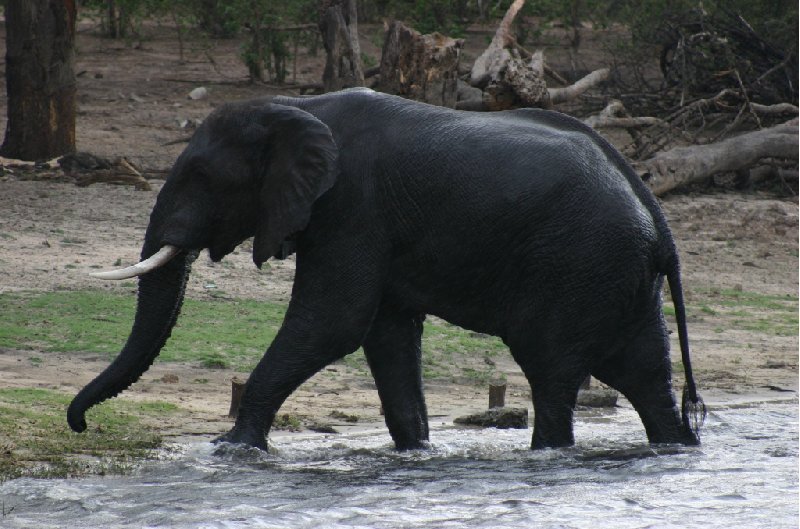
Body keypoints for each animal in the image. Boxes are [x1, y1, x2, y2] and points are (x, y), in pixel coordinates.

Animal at [69, 87, 708, 450]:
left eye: (201, 176)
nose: (80, 426)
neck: (296, 108)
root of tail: (660, 224)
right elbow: (386, 334)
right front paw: (415, 454)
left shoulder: (351, 207)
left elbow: (334, 322)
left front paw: (230, 450)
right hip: (615, 273)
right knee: (644, 373)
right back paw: (673, 449)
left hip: (576, 263)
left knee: (551, 371)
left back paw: (550, 454)